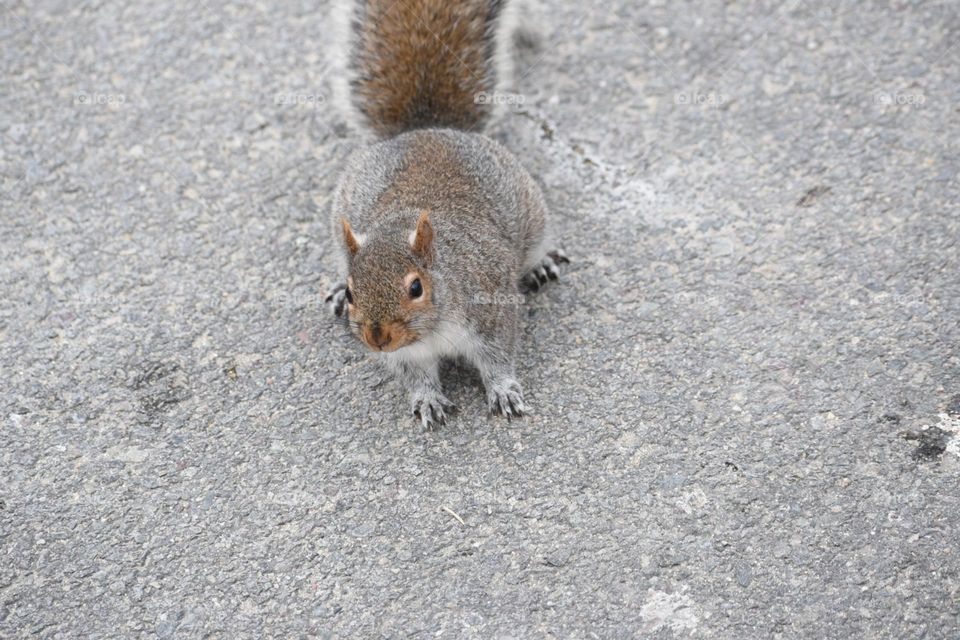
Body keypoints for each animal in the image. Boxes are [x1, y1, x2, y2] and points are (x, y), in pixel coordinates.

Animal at [324, 0, 568, 429]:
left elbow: (499, 357)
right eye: (355, 292)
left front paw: (504, 390)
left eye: (416, 288)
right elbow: (416, 375)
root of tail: (427, 128)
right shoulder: (407, 355)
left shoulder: (491, 312)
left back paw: (540, 265)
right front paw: (427, 399)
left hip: (532, 214)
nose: (377, 338)